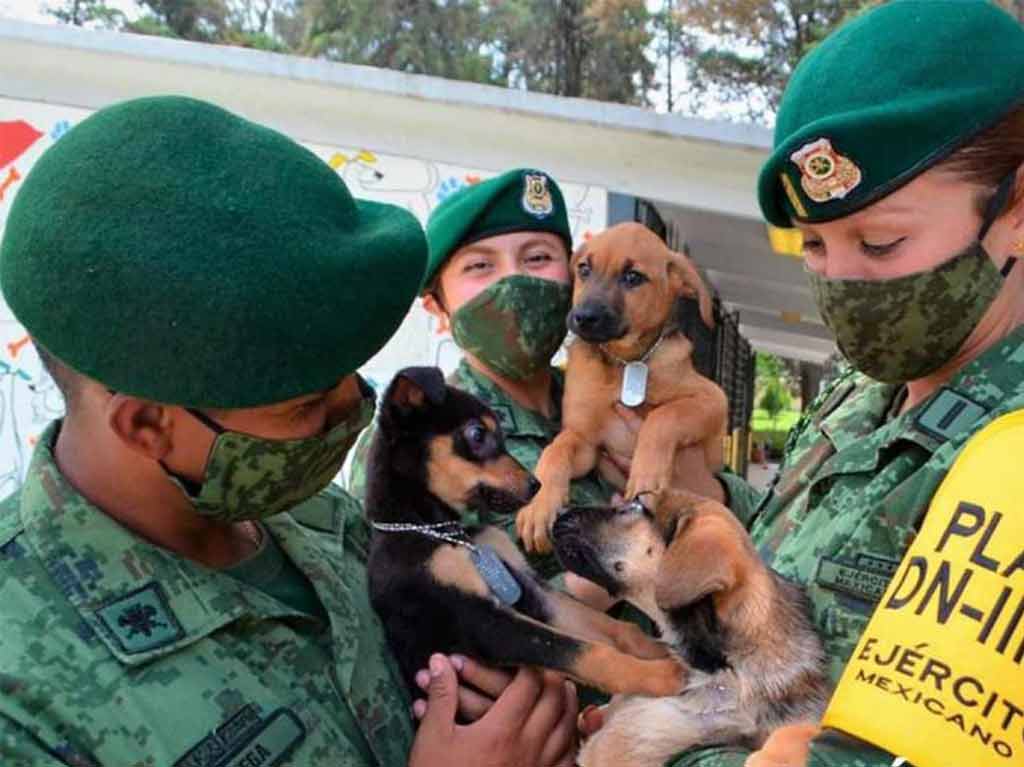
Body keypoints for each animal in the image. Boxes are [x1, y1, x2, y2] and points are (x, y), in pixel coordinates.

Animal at [362, 368, 688, 704]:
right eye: (477, 434)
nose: (537, 485)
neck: (441, 532)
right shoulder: (477, 620)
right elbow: (582, 651)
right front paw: (659, 675)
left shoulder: (530, 588)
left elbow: (611, 627)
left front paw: (662, 649)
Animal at [520, 220, 729, 548]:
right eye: (584, 269)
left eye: (633, 277)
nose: (583, 317)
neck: (624, 364)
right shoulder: (586, 442)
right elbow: (557, 449)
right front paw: (539, 506)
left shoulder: (713, 399)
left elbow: (664, 416)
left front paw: (647, 475)